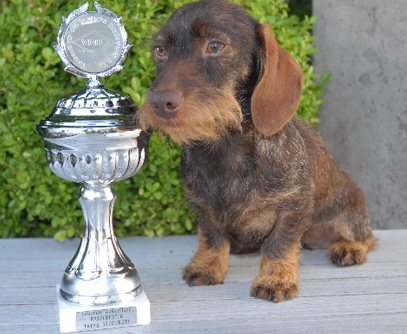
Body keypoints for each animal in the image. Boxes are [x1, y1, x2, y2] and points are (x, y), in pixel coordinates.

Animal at [139, 0, 378, 302]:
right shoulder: (203, 207)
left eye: (215, 46)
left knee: (369, 238)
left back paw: (349, 247)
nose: (160, 102)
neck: (226, 149)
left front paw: (276, 278)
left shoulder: (293, 207)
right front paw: (207, 266)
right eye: (160, 50)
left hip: (351, 213)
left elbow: (279, 244)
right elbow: (211, 237)